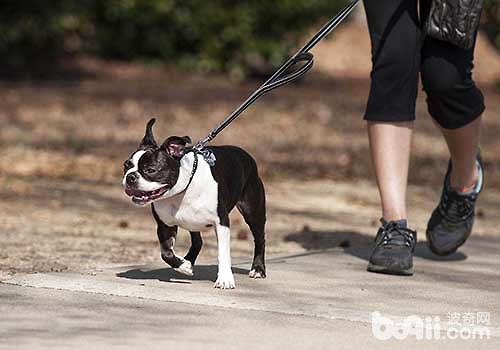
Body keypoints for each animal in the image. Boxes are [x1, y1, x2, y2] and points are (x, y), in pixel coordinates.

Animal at [122, 119, 266, 288]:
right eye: (126, 165)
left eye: (150, 170)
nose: (130, 177)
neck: (181, 191)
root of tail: (245, 154)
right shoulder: (165, 226)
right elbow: (166, 253)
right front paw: (183, 265)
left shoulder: (221, 223)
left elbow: (223, 253)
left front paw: (225, 278)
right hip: (193, 223)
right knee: (198, 241)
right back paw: (188, 261)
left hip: (253, 212)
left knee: (259, 239)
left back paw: (258, 269)